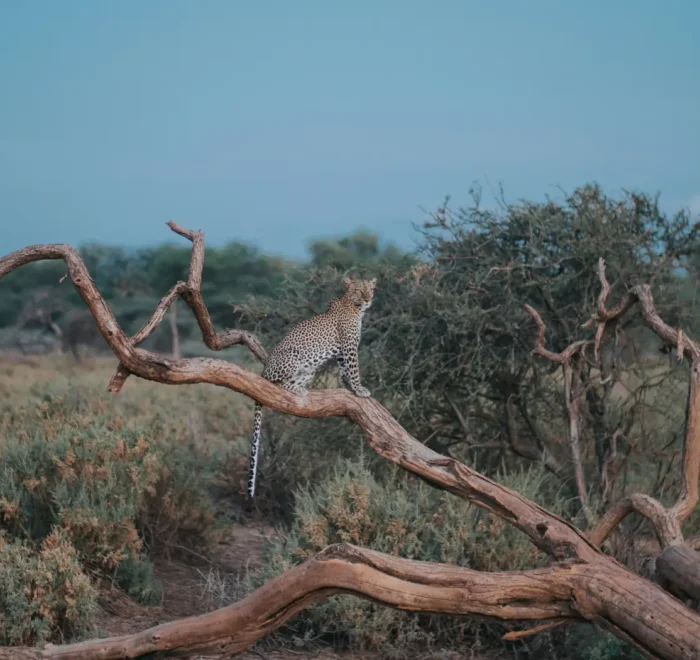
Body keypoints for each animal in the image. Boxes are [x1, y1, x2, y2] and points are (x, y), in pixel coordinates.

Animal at [247, 276, 377, 499]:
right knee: (277, 384)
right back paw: (297, 390)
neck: (355, 308)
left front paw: (349, 386)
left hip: (309, 371)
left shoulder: (342, 351)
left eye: (370, 289)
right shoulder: (349, 346)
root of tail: (263, 371)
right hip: (293, 357)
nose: (368, 299)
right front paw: (360, 389)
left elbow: (345, 370)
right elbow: (354, 369)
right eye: (360, 291)